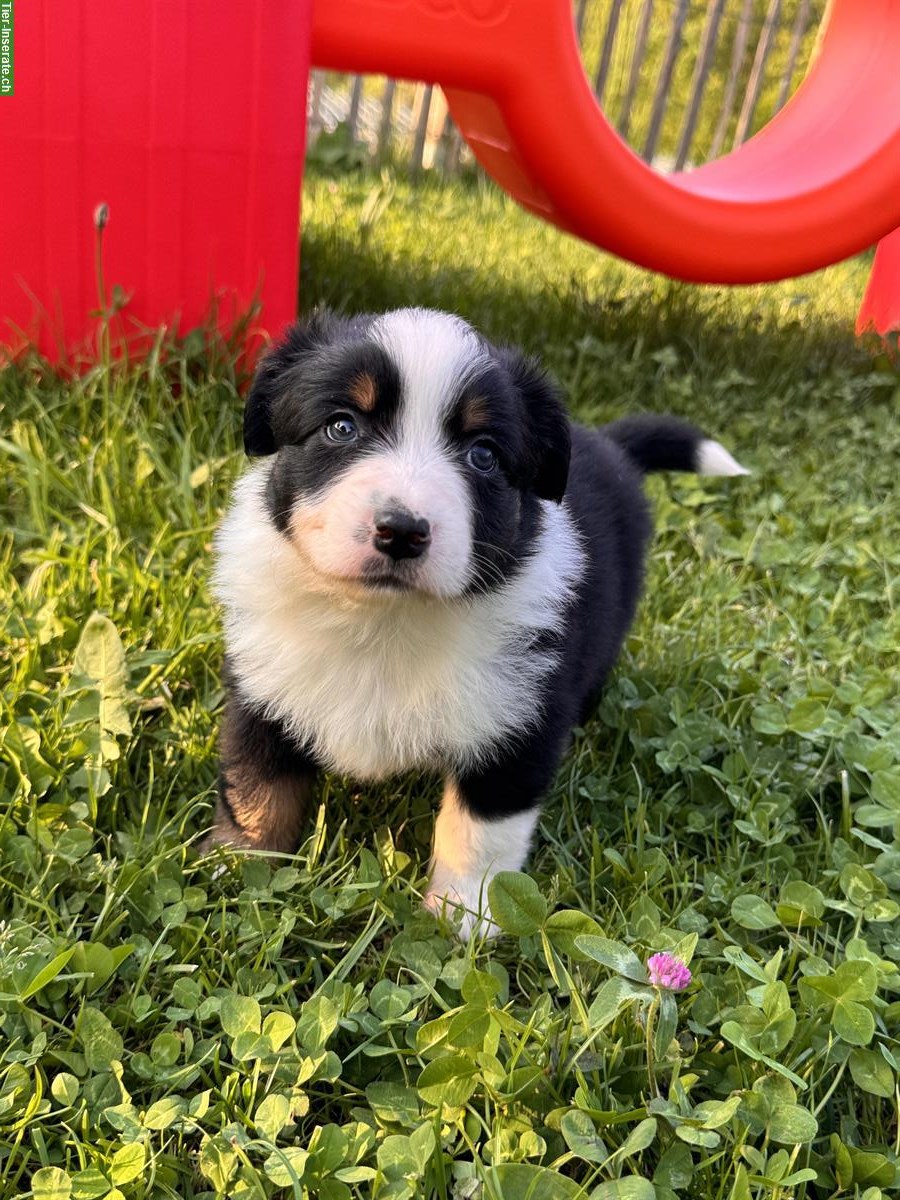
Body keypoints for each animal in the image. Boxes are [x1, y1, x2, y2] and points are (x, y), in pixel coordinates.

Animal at [206, 307, 748, 936]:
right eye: (342, 427)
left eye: (483, 455)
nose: (402, 531)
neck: (384, 622)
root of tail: (609, 444)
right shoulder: (262, 684)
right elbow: (257, 789)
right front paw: (238, 872)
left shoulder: (517, 718)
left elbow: (479, 831)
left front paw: (463, 915)